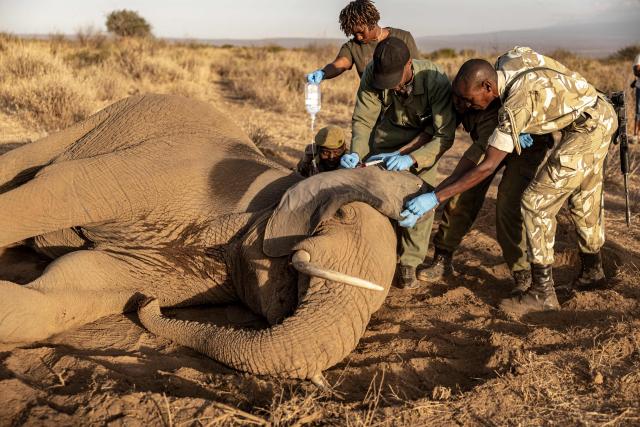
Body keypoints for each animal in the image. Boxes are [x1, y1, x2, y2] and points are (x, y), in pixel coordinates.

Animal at [0, 94, 427, 384]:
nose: (150, 305)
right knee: (26, 165)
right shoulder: (171, 174)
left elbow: (77, 280)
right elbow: (58, 192)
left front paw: (138, 298)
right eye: (341, 215)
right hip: (99, 122)